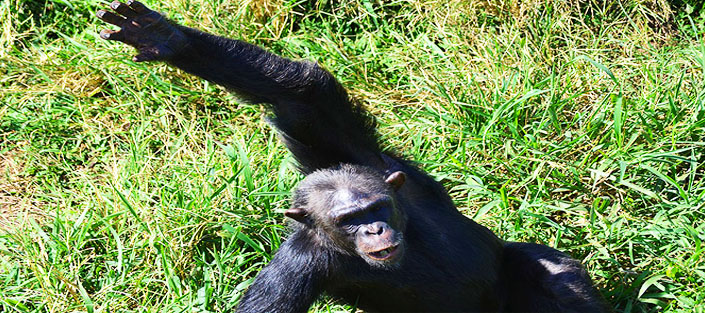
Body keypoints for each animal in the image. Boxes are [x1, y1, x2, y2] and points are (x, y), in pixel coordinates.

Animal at [96, 1, 608, 310]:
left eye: (375, 208)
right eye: (347, 221)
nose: (374, 229)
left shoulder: (356, 150)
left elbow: (301, 93)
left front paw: (168, 37)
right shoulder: (298, 264)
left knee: (555, 276)